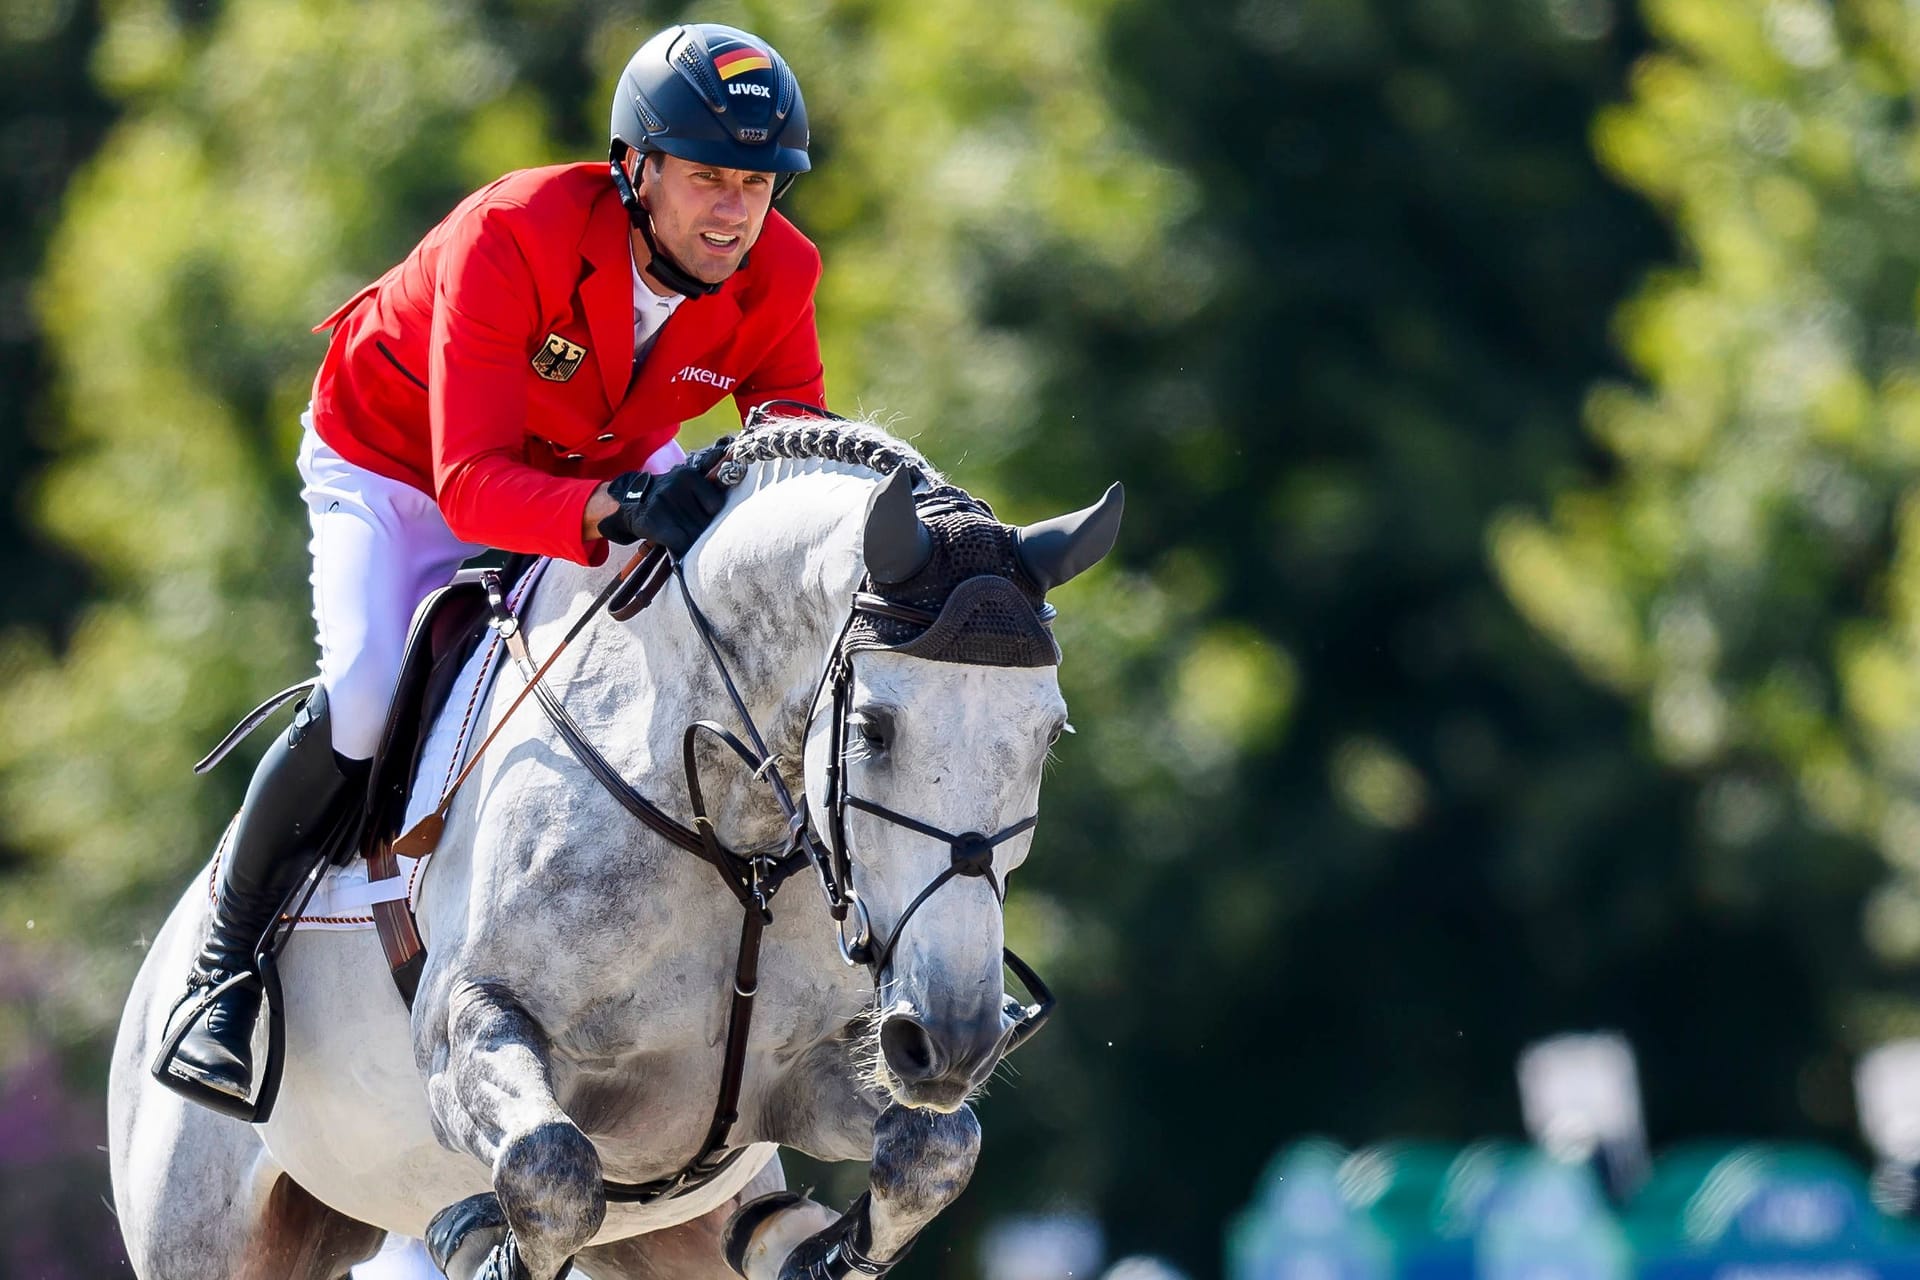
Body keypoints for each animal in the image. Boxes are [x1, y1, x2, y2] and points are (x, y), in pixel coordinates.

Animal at [108, 416, 1121, 1274]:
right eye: (872, 729)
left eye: (1049, 737)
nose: (953, 1043)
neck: (729, 839)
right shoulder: (466, 1031)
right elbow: (550, 1171)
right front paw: (485, 1247)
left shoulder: (807, 1076)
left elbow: (934, 1151)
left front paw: (814, 1253)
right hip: (203, 1232)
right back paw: (217, 1025)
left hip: (674, 1230)